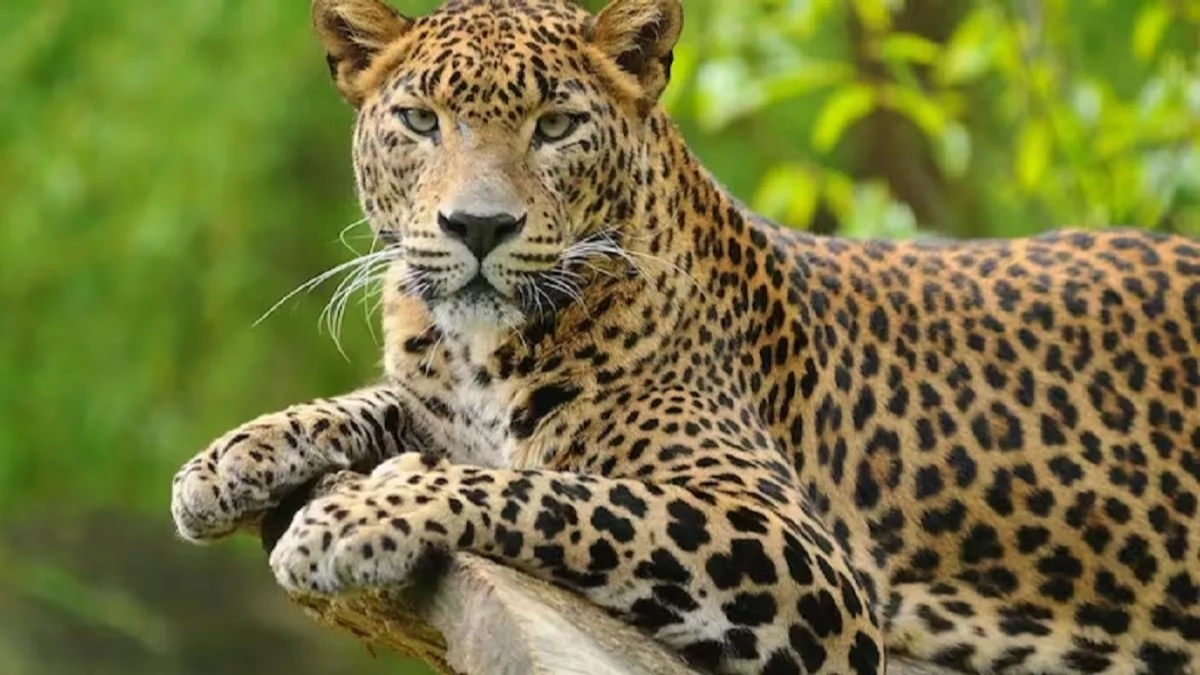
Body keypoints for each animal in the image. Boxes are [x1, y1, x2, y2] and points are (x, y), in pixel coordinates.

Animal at [169, 0, 1200, 672]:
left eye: (556, 124)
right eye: (421, 121)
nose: (478, 227)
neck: (481, 355)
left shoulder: (797, 551)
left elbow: (556, 491)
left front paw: (357, 515)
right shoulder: (434, 398)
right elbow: (375, 404)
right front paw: (225, 461)